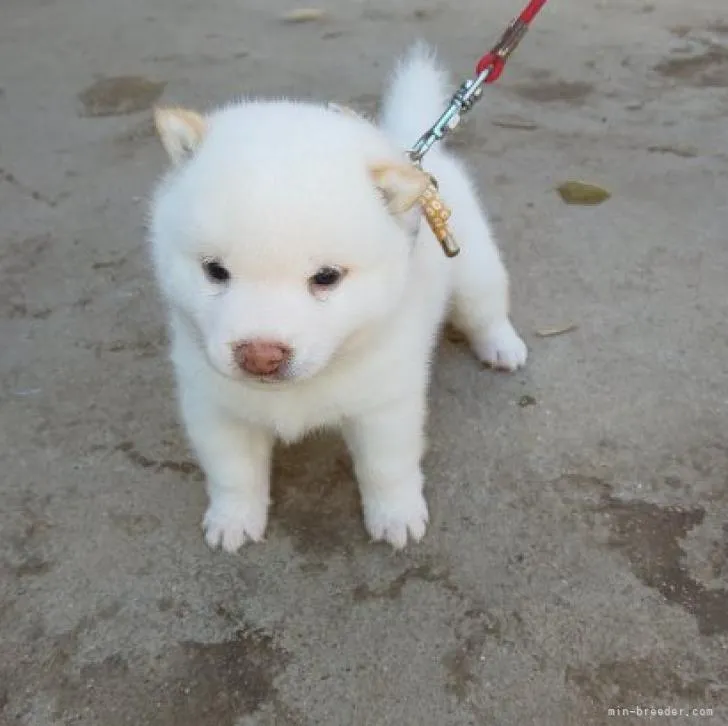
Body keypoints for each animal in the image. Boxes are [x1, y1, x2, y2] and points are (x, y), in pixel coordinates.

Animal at [148, 44, 528, 552]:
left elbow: (386, 468)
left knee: (486, 308)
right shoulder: (214, 405)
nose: (261, 356)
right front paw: (233, 518)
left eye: (326, 277)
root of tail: (413, 151)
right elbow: (234, 473)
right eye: (214, 270)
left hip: (473, 269)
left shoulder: (385, 403)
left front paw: (396, 514)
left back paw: (501, 346)